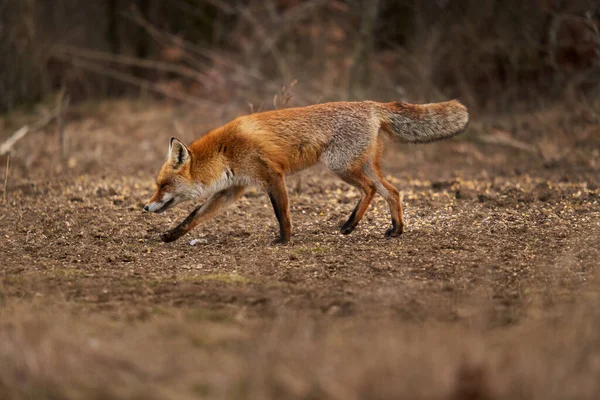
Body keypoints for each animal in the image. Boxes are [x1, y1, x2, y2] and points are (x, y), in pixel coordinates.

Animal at [144, 100, 468, 244]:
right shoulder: (232, 189)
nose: (145, 207)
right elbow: (194, 215)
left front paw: (284, 240)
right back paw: (394, 229)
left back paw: (351, 225)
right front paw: (172, 235)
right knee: (392, 191)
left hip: (340, 165)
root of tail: (371, 104)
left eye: (163, 185)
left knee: (371, 190)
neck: (226, 153)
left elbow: (282, 213)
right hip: (362, 166)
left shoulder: (272, 176)